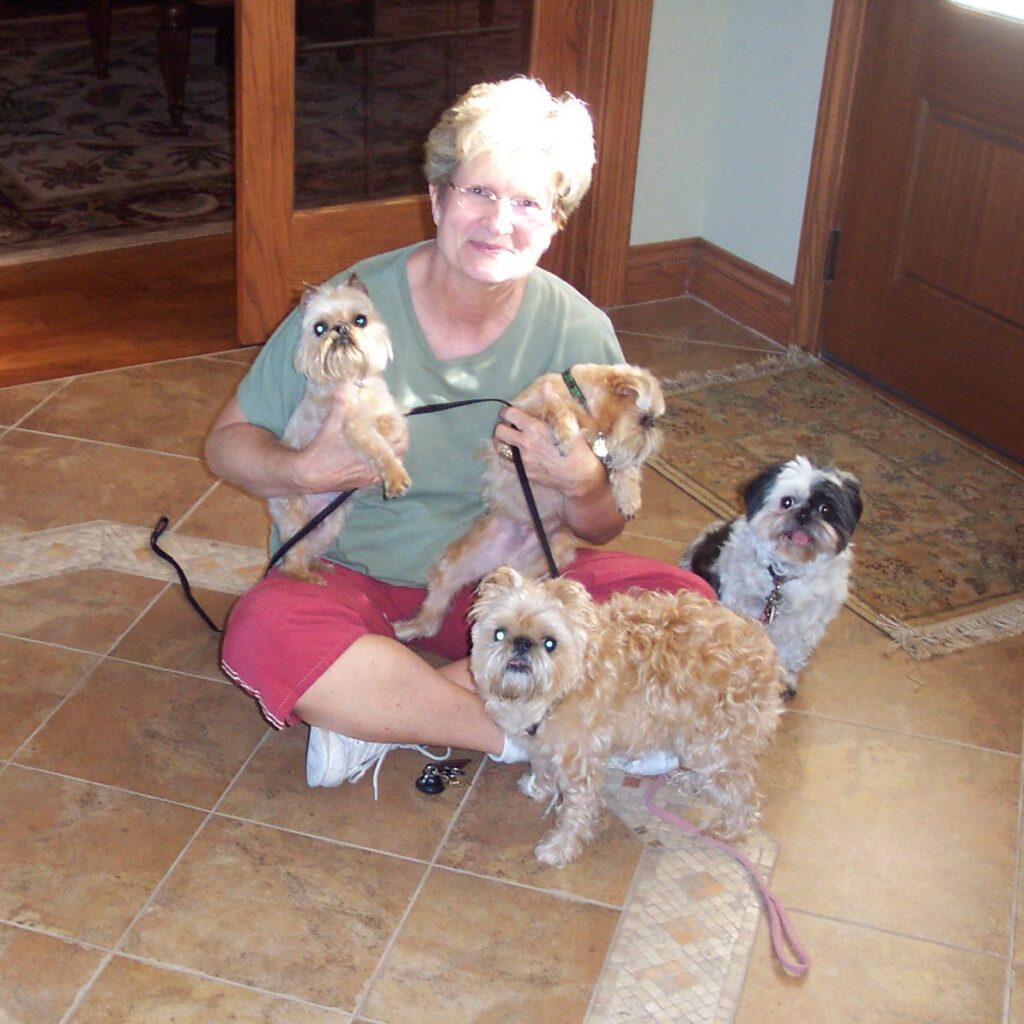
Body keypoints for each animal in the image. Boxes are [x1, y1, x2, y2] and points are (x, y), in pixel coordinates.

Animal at [391, 364, 663, 638]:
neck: (583, 403)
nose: (654, 435)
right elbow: (557, 408)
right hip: (452, 567)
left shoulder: (601, 456)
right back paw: (405, 629)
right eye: (644, 420)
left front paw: (629, 496)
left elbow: (623, 468)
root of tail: (506, 557)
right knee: (433, 610)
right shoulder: (525, 411)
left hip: (557, 547)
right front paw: (566, 433)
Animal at [468, 565, 782, 868]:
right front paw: (537, 787)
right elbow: (542, 766)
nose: (521, 644)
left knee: (744, 794)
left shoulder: (581, 766)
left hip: (712, 745)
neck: (564, 687)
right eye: (499, 634)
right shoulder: (544, 747)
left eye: (549, 643)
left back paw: (728, 830)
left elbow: (576, 813)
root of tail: (765, 650)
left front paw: (559, 849)